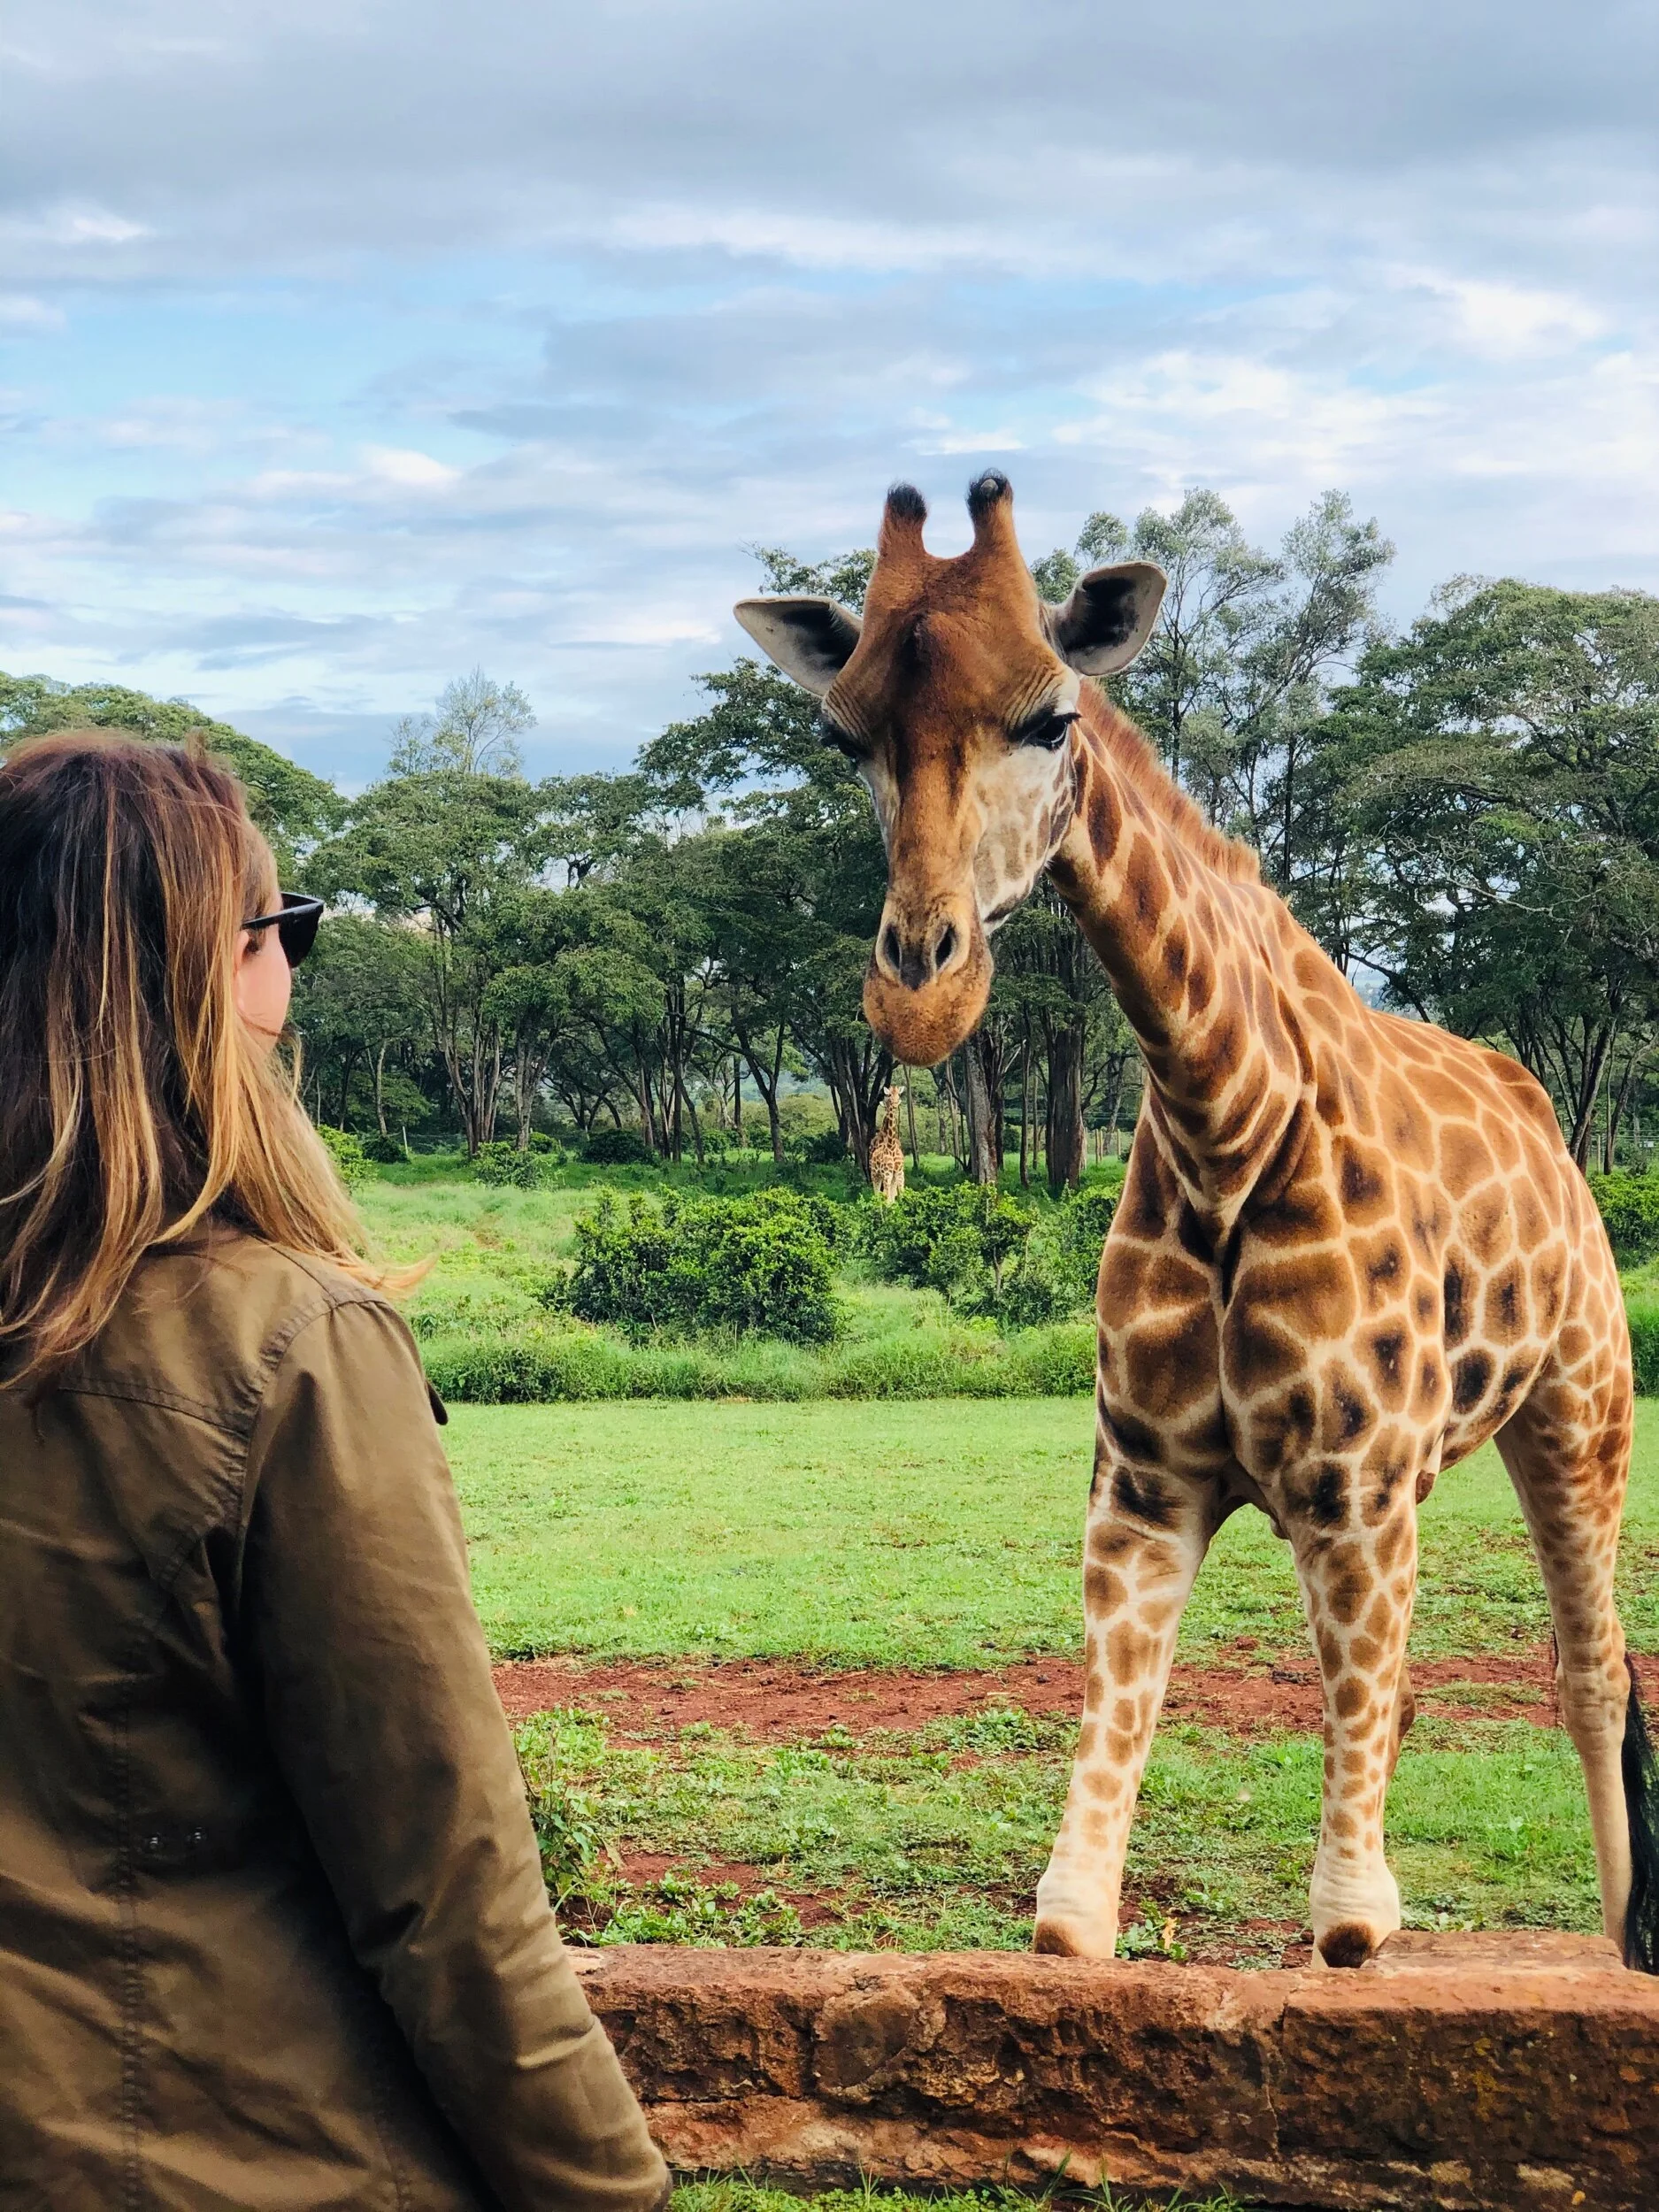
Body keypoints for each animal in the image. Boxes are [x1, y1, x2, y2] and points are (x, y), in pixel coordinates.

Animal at [870, 1081, 906, 1201]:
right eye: (889, 1095)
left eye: (899, 1094)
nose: (895, 1104)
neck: (891, 1146)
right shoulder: (887, 1173)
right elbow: (887, 1197)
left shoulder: (898, 1172)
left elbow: (899, 1194)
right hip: (875, 1174)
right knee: (877, 1193)